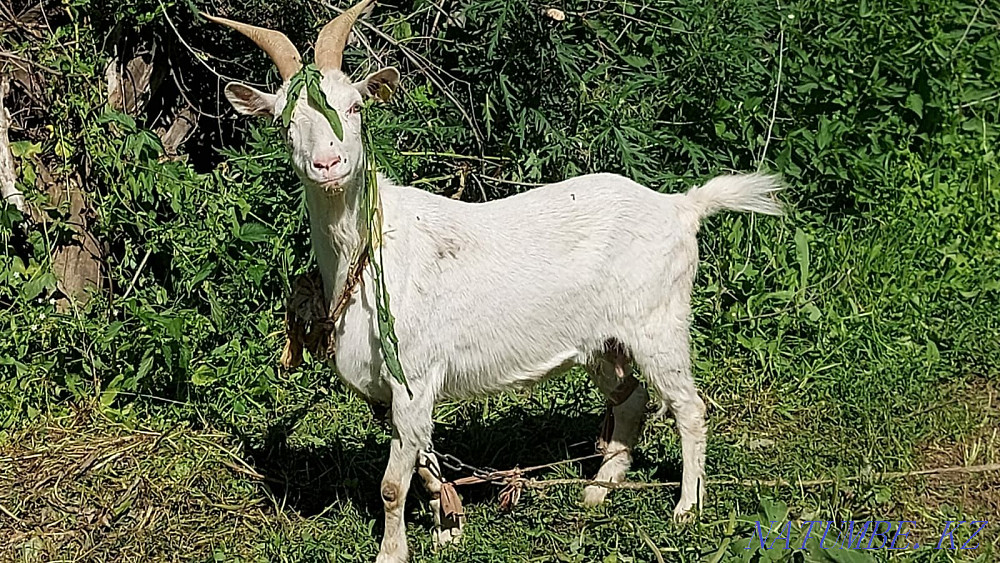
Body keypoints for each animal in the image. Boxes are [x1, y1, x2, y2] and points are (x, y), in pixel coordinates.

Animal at [205, 1, 783, 561]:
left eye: (354, 107)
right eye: (284, 121)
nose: (328, 163)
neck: (369, 252)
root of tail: (681, 207)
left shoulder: (414, 375)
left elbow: (392, 484)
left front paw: (394, 553)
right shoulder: (402, 393)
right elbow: (422, 466)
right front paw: (448, 529)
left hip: (658, 323)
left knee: (689, 407)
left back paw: (686, 508)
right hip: (603, 341)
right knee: (632, 398)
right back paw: (599, 490)